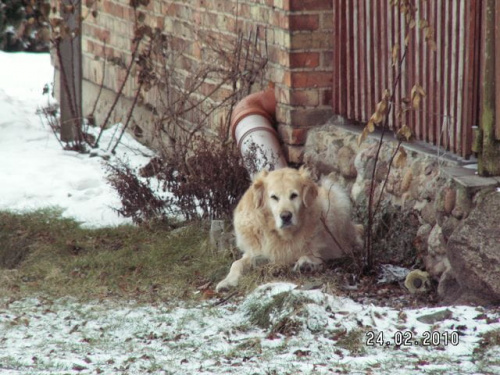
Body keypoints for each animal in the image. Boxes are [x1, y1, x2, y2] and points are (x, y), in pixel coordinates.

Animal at [215, 168, 364, 294]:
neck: (278, 233)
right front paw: (227, 282)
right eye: (274, 197)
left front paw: (306, 263)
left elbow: (312, 254)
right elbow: (236, 264)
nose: (286, 216)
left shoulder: (317, 248)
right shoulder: (254, 252)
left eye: (294, 195)